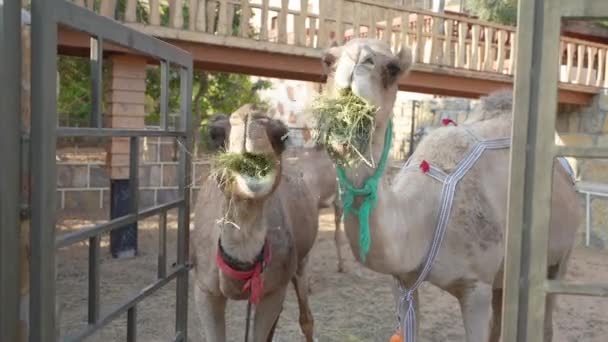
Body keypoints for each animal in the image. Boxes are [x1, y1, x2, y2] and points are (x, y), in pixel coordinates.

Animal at [192, 105, 320, 340]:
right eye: (214, 135)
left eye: (282, 136)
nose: (248, 116)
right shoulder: (204, 290)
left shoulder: (273, 290)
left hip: (300, 262)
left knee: (306, 317)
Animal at [318, 38, 580, 340]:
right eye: (329, 61)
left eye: (393, 68)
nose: (357, 60)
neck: (423, 216)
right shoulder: (402, 280)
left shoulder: (476, 285)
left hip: (560, 258)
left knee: (547, 314)